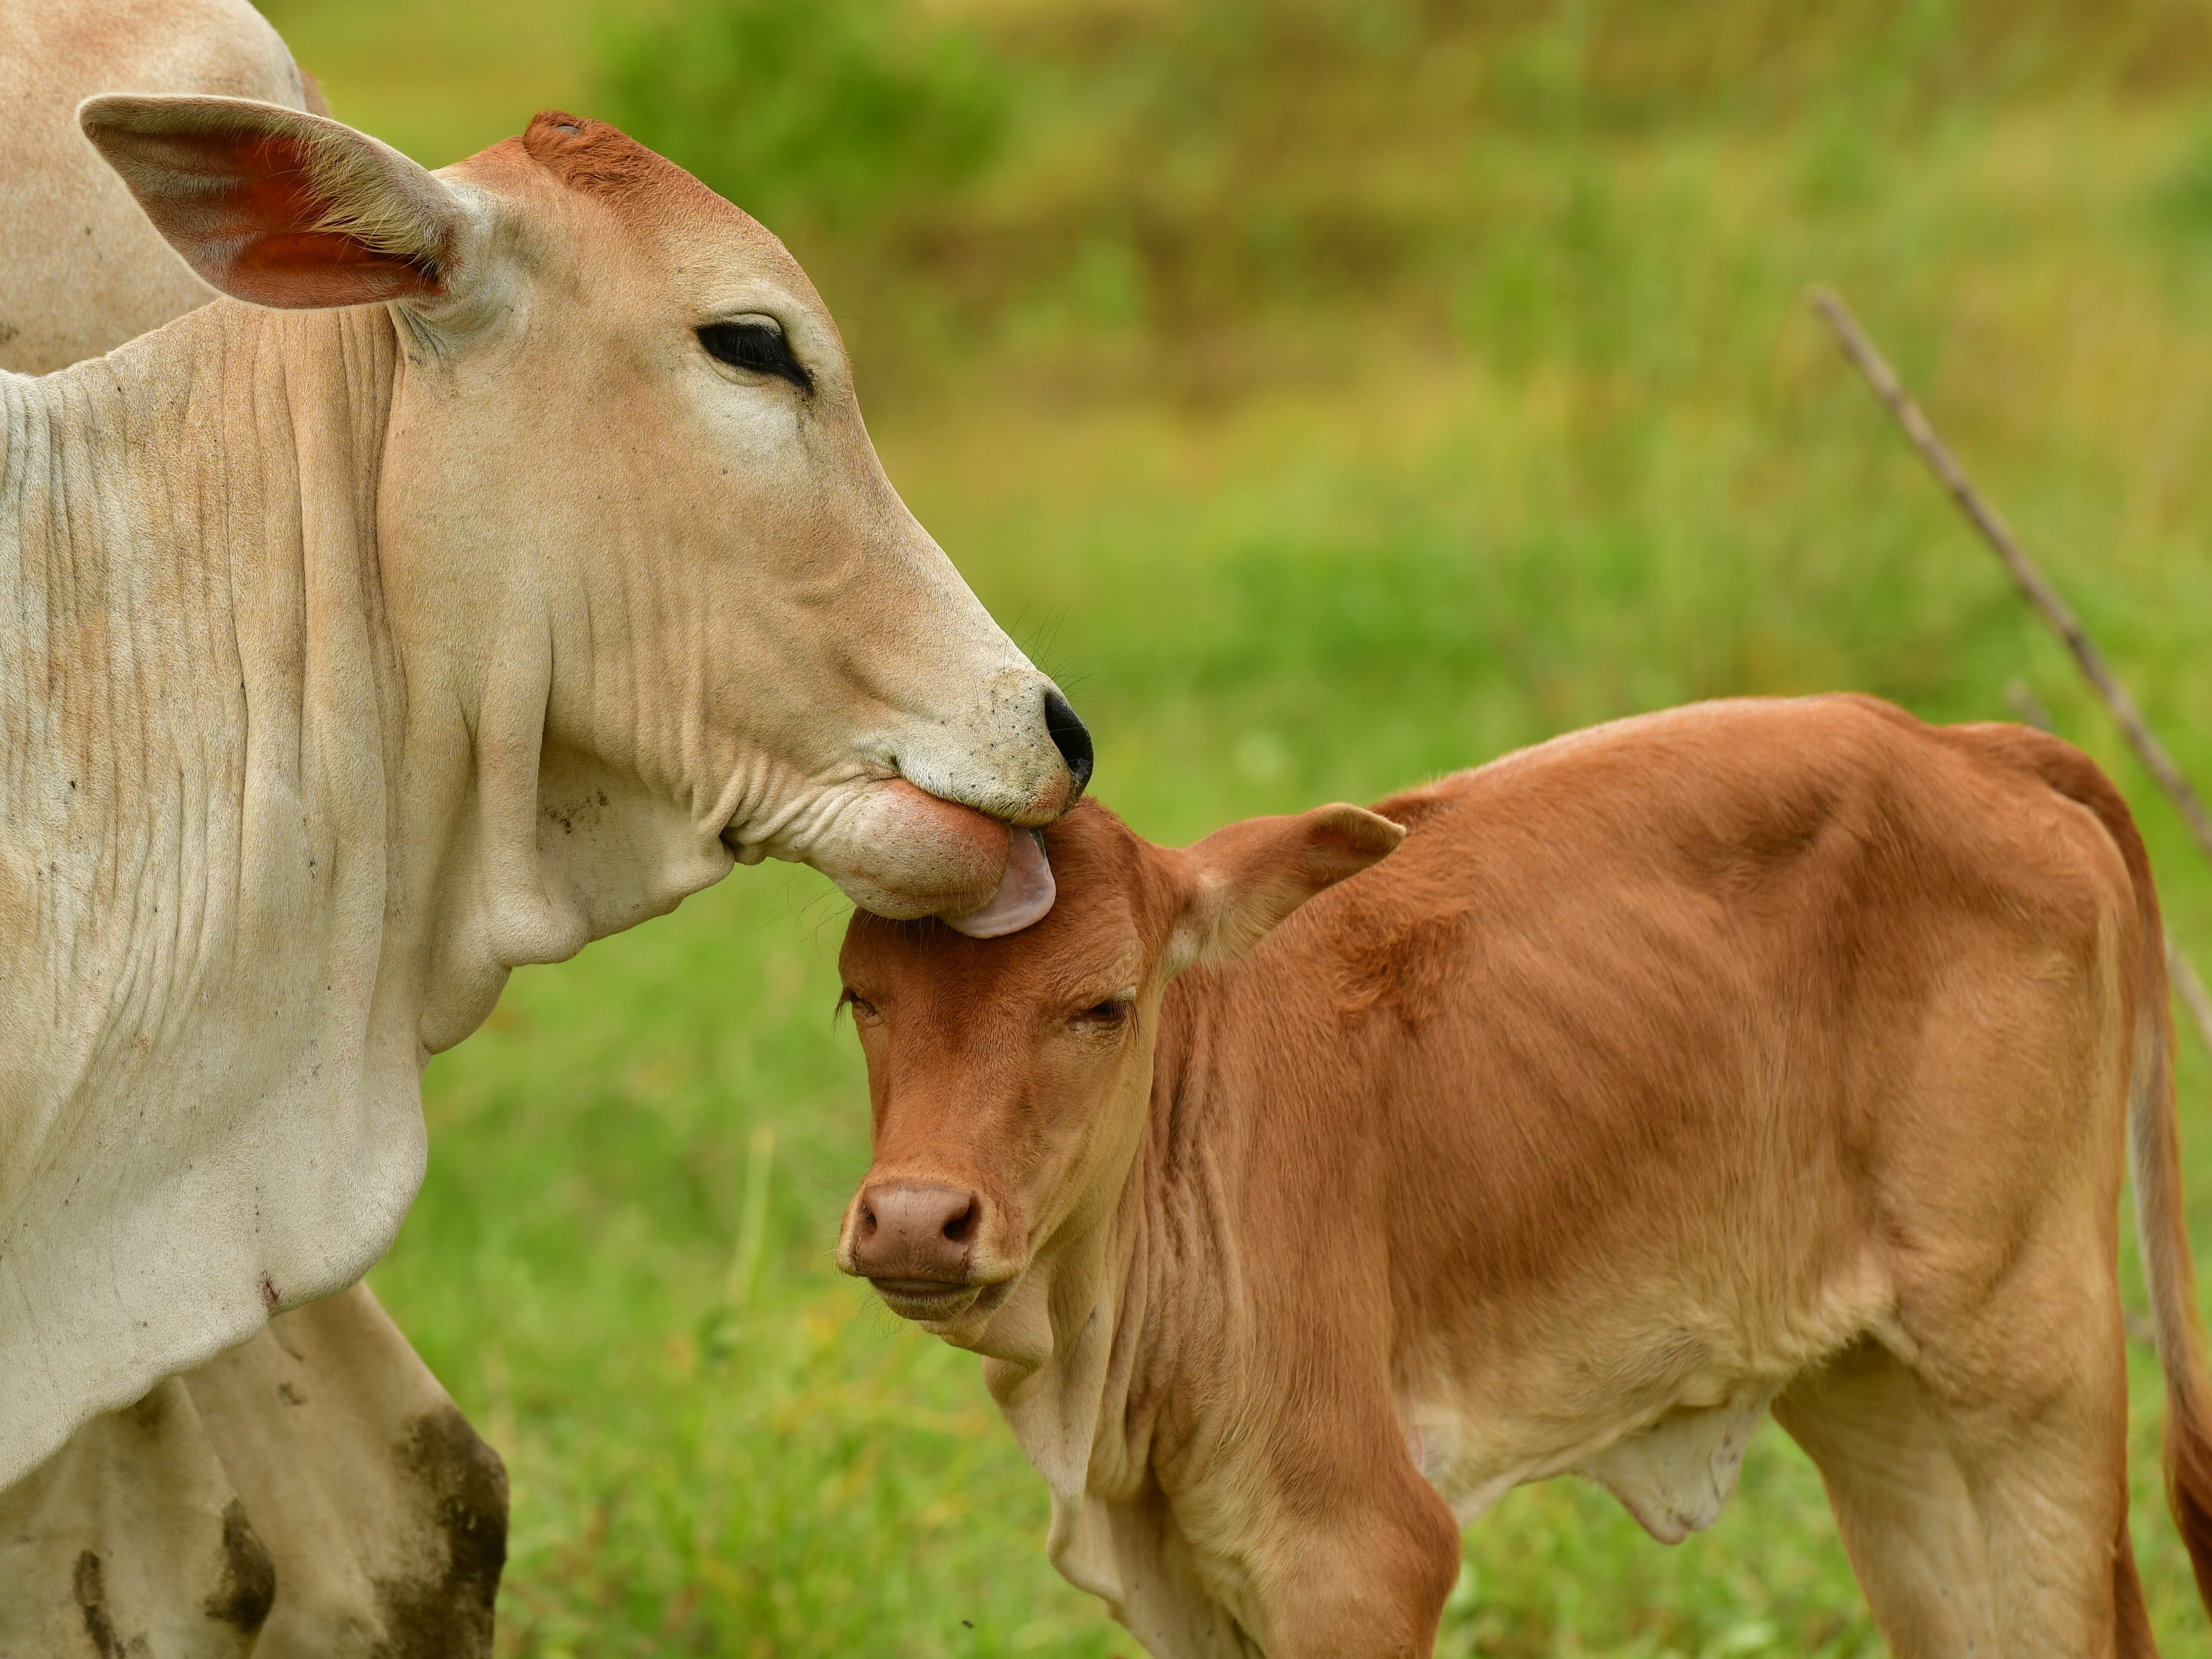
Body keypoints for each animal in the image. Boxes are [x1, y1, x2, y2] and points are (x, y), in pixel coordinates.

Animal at [836, 694, 2212, 1658]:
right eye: (860, 994)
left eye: (1104, 1004)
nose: (914, 1219)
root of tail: (1966, 743)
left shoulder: (1357, 1553)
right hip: (1881, 1399)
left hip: (2025, 1362)